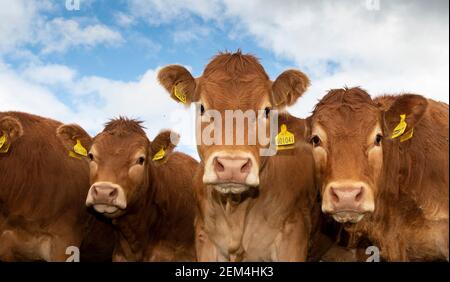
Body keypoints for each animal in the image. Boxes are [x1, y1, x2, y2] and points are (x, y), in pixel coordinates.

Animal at [156, 51, 318, 262]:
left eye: (267, 110)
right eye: (202, 108)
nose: (232, 166)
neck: (235, 209)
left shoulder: (294, 235)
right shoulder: (204, 237)